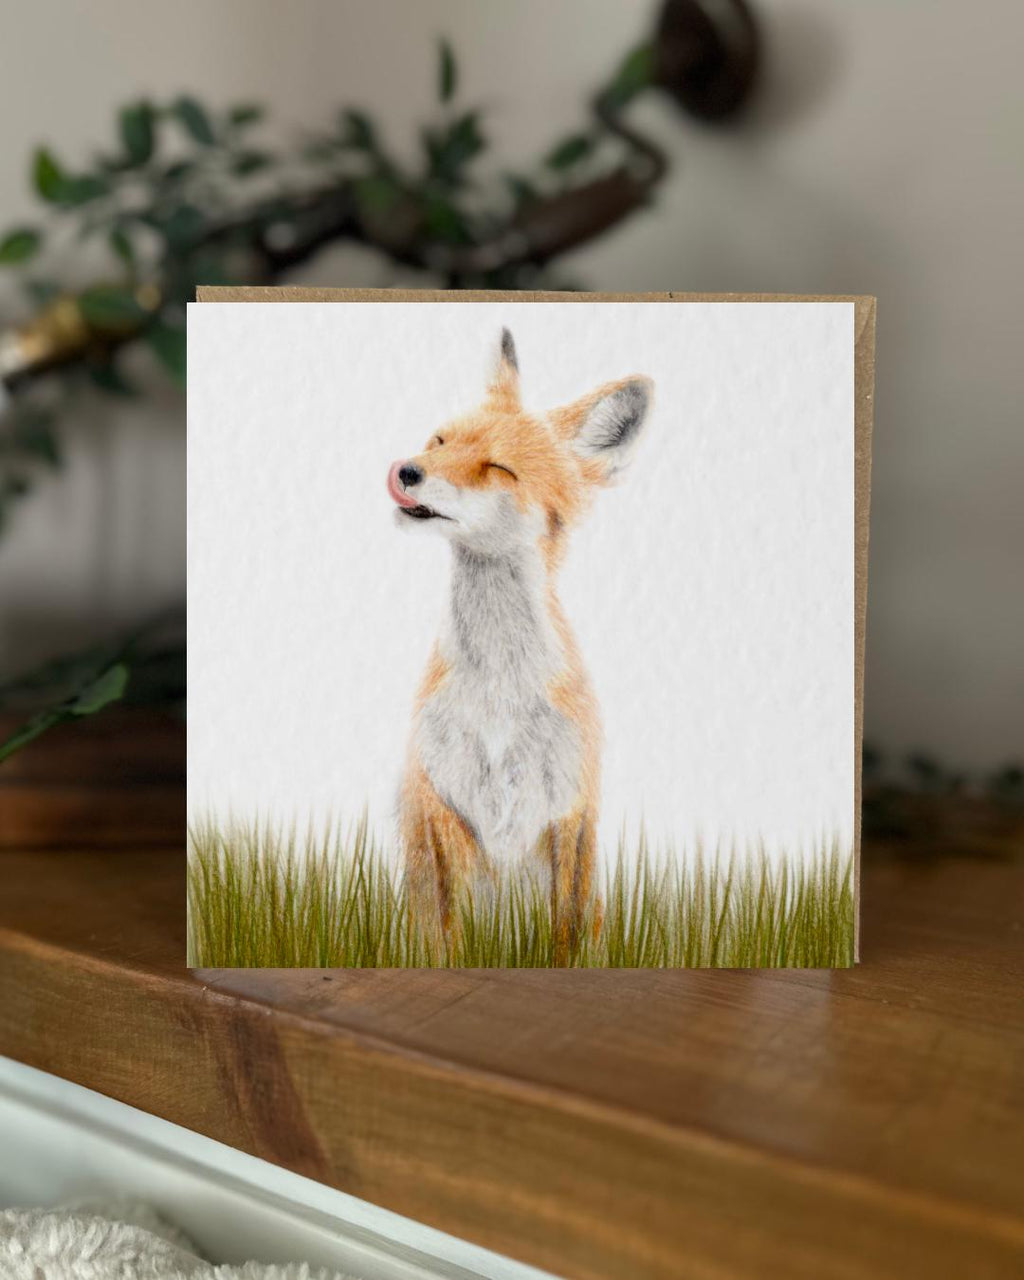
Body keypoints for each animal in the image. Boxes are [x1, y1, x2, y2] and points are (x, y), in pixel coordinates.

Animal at [387, 327, 653, 956]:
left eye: (497, 468)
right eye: (439, 440)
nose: (406, 470)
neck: (497, 698)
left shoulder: (569, 816)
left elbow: (566, 936)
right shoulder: (439, 811)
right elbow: (444, 937)